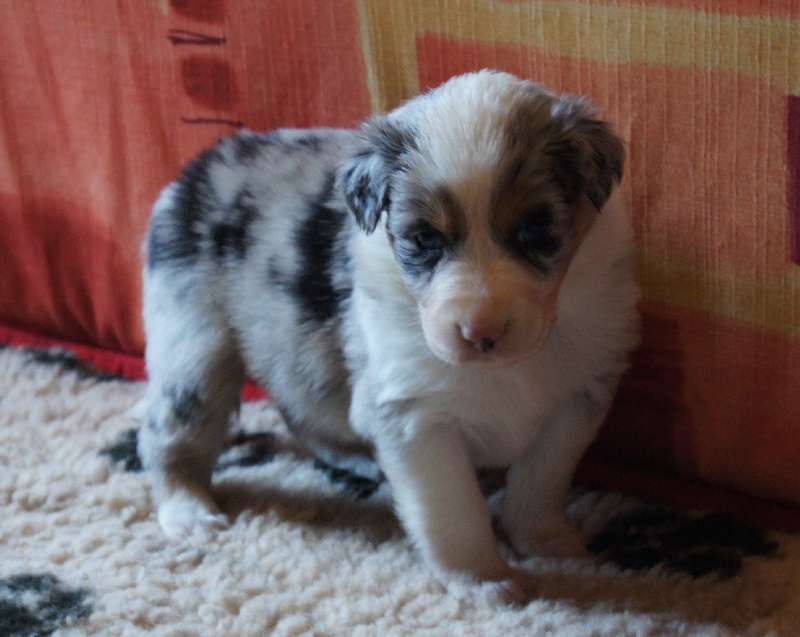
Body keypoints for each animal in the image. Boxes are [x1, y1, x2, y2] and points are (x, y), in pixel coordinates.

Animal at [139, 70, 639, 602]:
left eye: (533, 230)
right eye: (424, 239)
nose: (480, 333)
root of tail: (196, 167)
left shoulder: (578, 395)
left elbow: (540, 480)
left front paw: (547, 542)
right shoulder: (415, 417)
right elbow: (454, 508)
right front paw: (483, 580)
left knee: (301, 411)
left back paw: (356, 461)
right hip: (195, 345)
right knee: (171, 435)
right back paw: (189, 513)